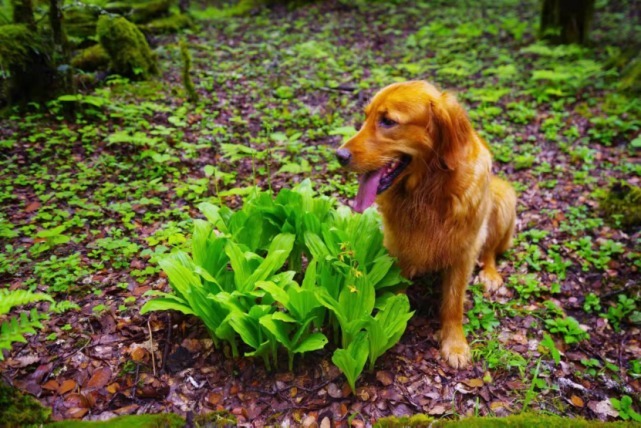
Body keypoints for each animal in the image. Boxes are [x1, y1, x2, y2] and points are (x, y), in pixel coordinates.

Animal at [336, 80, 516, 368]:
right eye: (365, 117)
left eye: (388, 121)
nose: (339, 155)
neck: (428, 191)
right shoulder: (397, 247)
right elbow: (394, 289)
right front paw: (385, 322)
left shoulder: (465, 251)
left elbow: (453, 304)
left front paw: (455, 344)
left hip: (502, 197)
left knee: (489, 251)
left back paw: (490, 275)